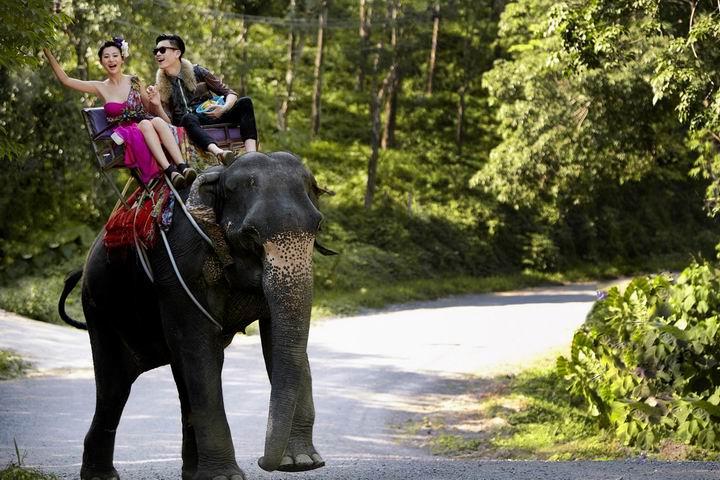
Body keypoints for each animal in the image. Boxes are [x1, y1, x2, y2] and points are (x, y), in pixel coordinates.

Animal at [60, 152, 330, 480]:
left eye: (318, 227)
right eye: (250, 234)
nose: (263, 462)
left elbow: (276, 341)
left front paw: (302, 462)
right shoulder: (180, 266)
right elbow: (197, 346)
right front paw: (227, 477)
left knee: (181, 376)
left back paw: (192, 472)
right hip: (101, 309)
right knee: (114, 387)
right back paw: (102, 475)